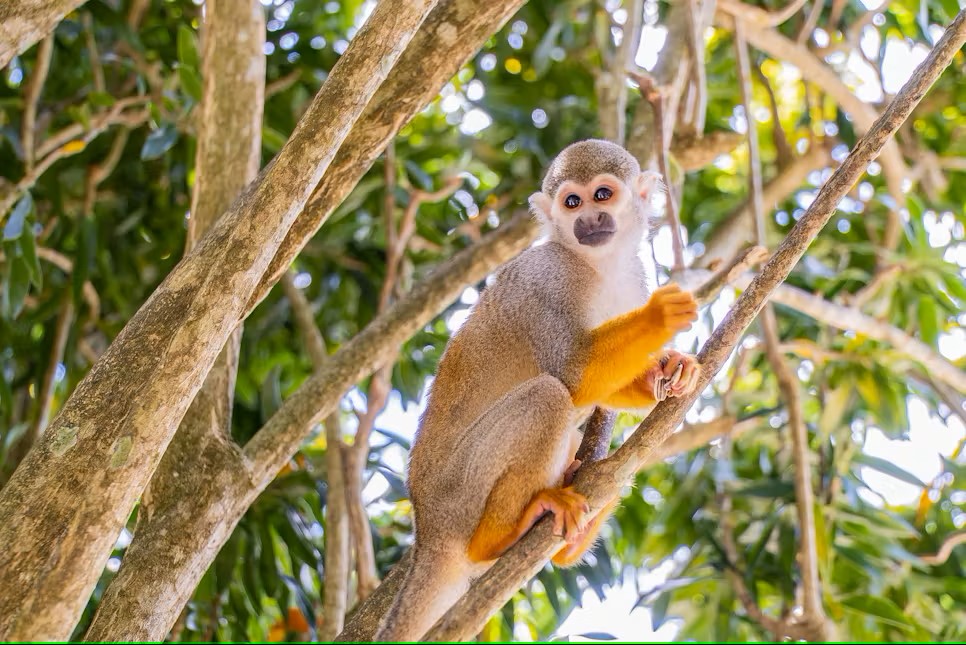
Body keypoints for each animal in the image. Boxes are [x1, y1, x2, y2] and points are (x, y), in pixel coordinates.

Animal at [374, 139, 701, 642]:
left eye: (602, 195)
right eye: (572, 202)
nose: (589, 220)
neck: (595, 265)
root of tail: (425, 530)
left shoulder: (633, 276)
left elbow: (597, 388)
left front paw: (668, 370)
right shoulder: (547, 279)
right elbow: (572, 374)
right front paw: (659, 317)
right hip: (459, 495)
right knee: (548, 395)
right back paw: (501, 536)